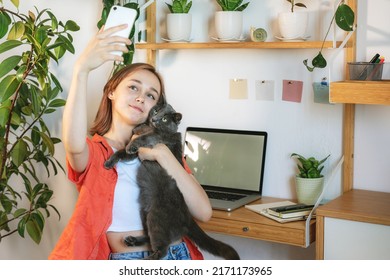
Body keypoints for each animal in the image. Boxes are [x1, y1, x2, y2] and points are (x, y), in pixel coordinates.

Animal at [103, 103, 239, 260]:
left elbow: (145, 138)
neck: (152, 128)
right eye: (156, 111)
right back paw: (132, 240)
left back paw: (145, 258)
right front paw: (109, 162)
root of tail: (187, 217)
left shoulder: (159, 139)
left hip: (156, 218)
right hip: (145, 214)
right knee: (151, 238)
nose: (154, 119)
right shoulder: (137, 153)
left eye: (165, 119)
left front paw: (133, 142)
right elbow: (121, 152)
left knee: (162, 250)